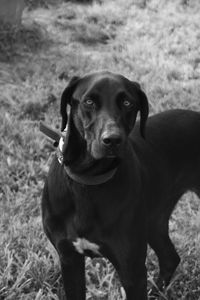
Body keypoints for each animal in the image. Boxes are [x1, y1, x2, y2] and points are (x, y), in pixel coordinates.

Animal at [41, 71, 200, 298]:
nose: (113, 140)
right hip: (154, 220)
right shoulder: (69, 259)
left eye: (127, 102)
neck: (89, 180)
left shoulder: (131, 270)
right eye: (89, 101)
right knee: (170, 258)